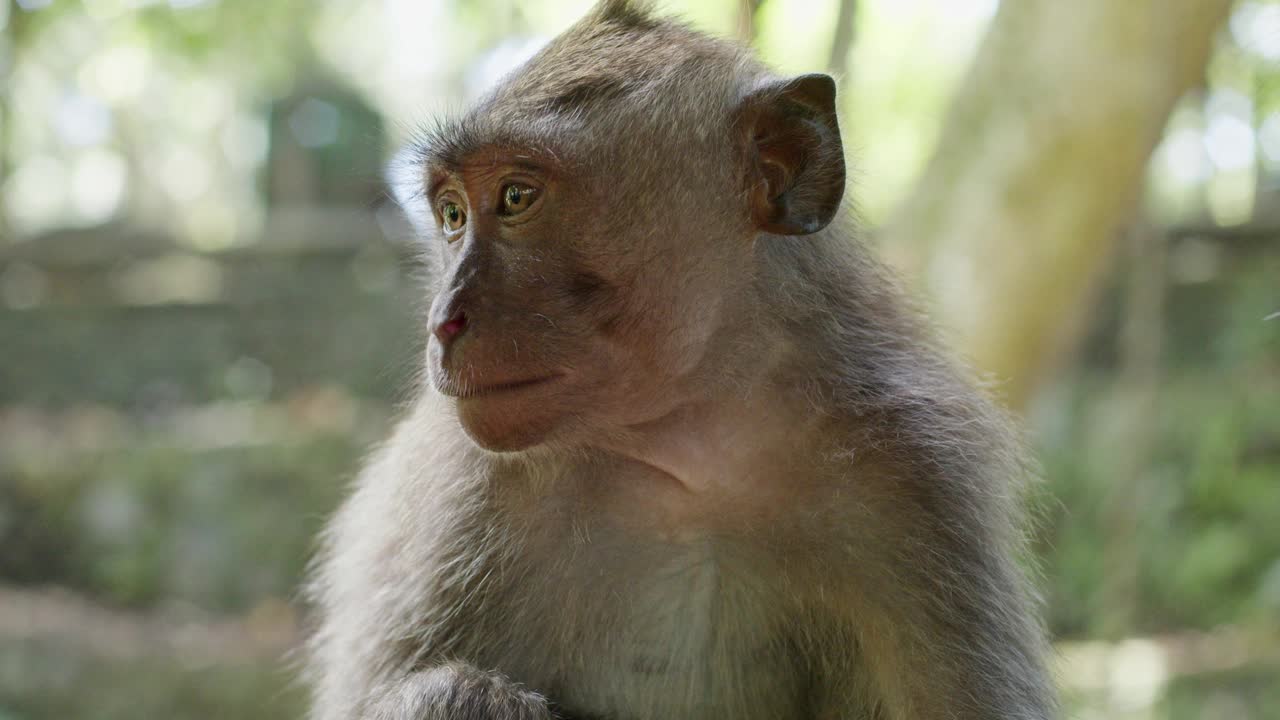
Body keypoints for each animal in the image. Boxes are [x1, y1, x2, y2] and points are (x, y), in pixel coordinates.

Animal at [304, 2, 1054, 712]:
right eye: (453, 215)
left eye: (516, 197)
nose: (444, 321)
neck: (697, 446)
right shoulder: (457, 496)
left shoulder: (920, 481)